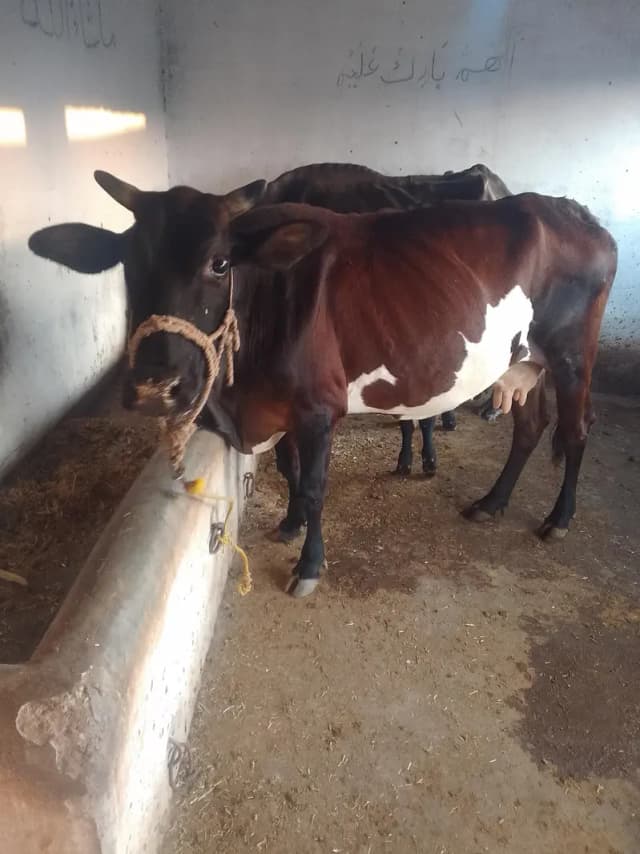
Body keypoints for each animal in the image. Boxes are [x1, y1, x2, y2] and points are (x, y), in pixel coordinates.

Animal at [30, 174, 617, 597]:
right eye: (127, 262)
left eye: (219, 263)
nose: (157, 387)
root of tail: (575, 212)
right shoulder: (283, 409)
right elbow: (289, 471)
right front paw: (288, 524)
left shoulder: (317, 408)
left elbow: (313, 486)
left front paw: (309, 565)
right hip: (525, 361)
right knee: (531, 427)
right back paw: (491, 502)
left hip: (570, 354)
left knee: (577, 427)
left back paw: (558, 519)